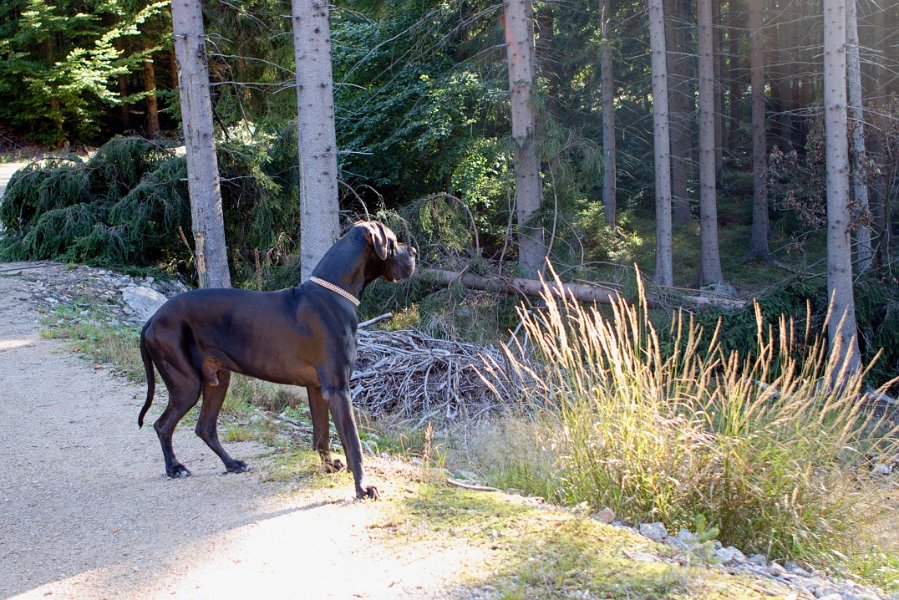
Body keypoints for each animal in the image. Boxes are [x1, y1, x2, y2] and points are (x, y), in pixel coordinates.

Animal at [138, 219, 418, 496]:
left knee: (204, 427)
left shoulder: (317, 388)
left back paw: (233, 463)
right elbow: (353, 440)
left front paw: (330, 467)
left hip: (218, 379)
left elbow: (322, 434)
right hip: (187, 384)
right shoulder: (338, 388)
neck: (334, 294)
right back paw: (175, 468)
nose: (414, 252)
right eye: (394, 241)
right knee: (162, 425)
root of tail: (153, 318)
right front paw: (362, 486)